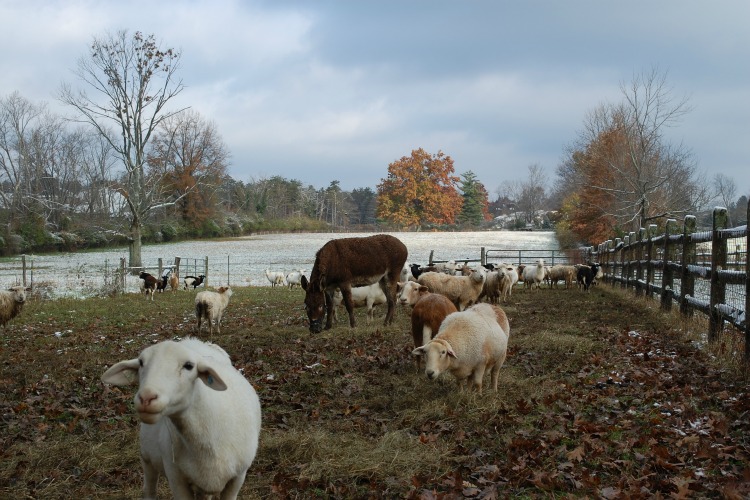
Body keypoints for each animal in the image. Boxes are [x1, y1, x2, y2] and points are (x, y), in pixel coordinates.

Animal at [101, 336, 262, 500]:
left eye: (189, 366)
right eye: (141, 362)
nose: (146, 398)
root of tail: (193, 340)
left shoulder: (238, 477)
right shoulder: (176, 477)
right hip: (147, 456)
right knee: (149, 489)